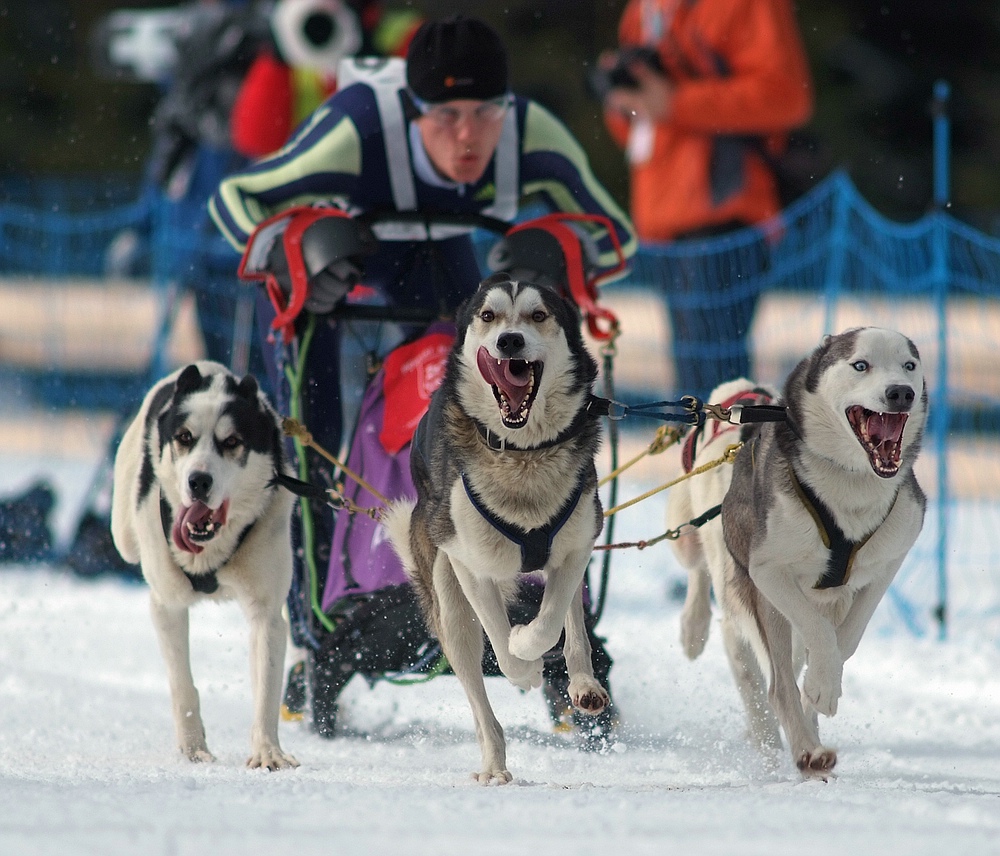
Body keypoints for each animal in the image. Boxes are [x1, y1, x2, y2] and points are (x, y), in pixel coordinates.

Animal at [111, 362, 296, 768]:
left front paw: (268, 752)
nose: (199, 481)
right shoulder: (167, 605)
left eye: (232, 442)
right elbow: (182, 683)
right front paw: (194, 748)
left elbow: (266, 689)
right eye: (184, 437)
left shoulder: (267, 615)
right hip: (125, 534)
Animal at [384, 274, 608, 784]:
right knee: (478, 695)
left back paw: (584, 682)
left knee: (573, 621)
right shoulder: (473, 567)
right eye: (488, 316)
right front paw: (524, 668)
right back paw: (494, 764)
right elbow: (501, 645)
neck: (523, 454)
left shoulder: (577, 546)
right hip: (449, 607)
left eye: (538, 315)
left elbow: (549, 622)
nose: (509, 341)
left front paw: (531, 644)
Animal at [668, 330, 924, 784]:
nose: (901, 393)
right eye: (860, 365)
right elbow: (815, 636)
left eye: (909, 366)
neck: (850, 485)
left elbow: (845, 639)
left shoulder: (890, 559)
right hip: (711, 559)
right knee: (770, 678)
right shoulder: (768, 571)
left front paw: (823, 685)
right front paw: (818, 689)